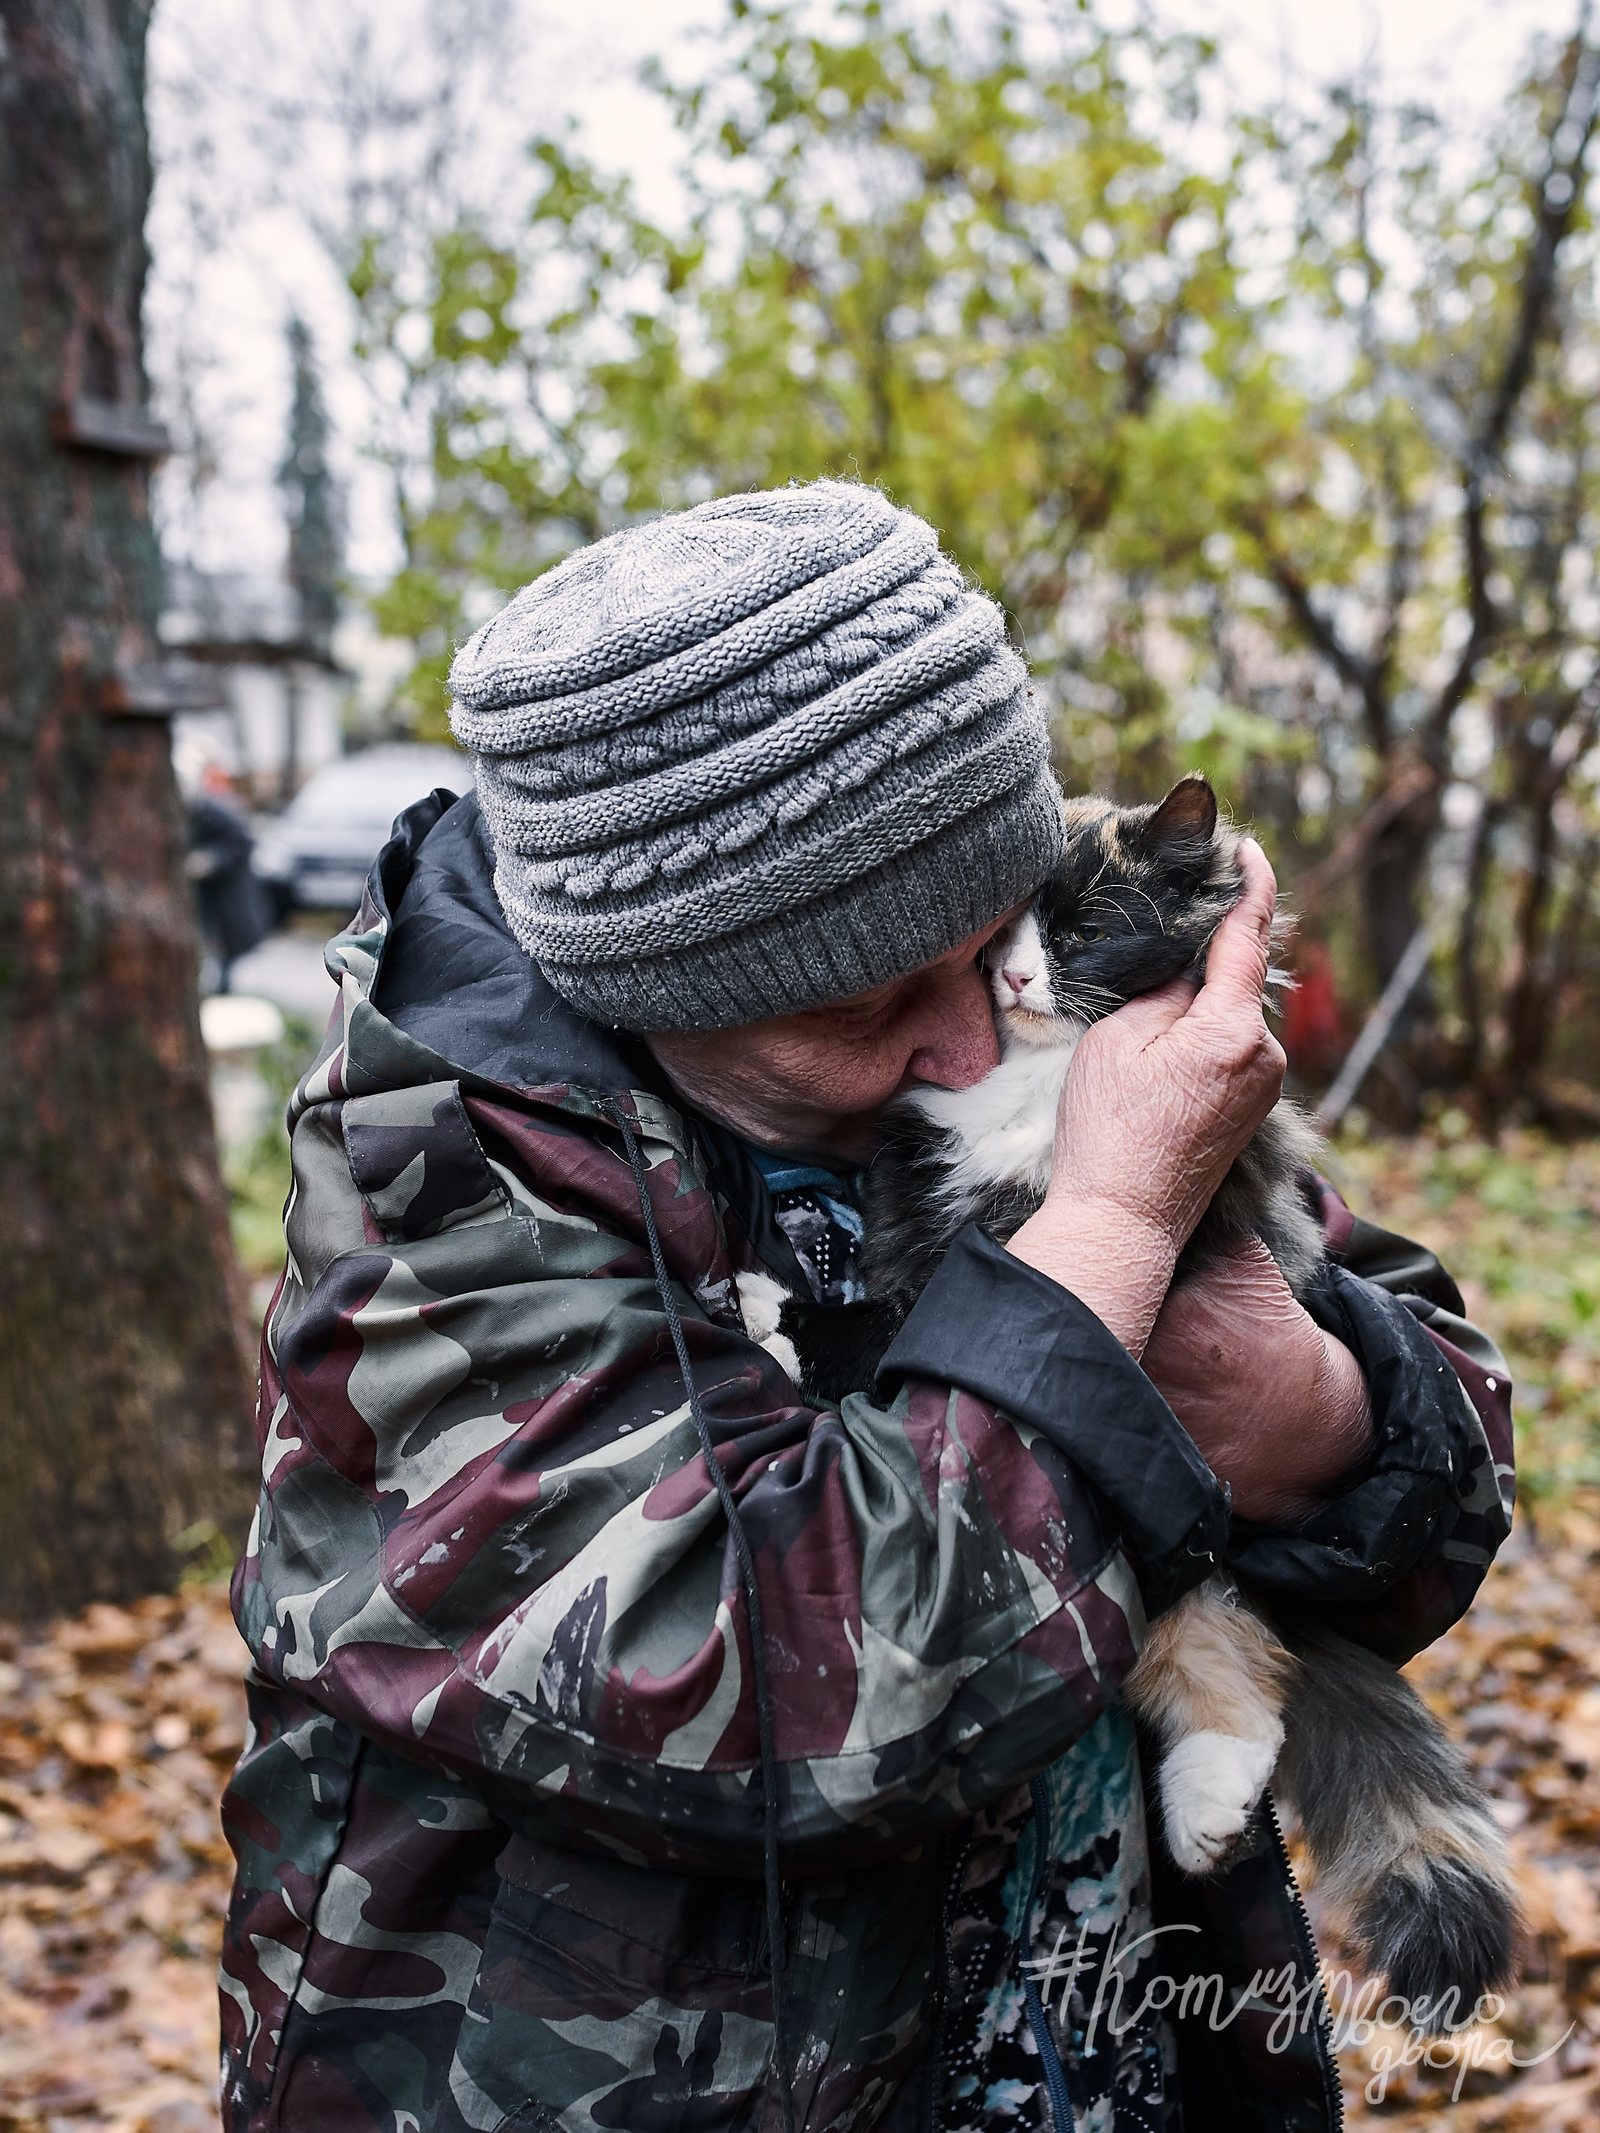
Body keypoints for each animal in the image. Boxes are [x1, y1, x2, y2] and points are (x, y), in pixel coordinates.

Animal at [746, 776, 1518, 2022]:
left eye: (1077, 930)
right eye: (986, 947)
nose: (1013, 980)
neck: (1039, 1081)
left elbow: (910, 1315)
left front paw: (786, 1316)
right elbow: (906, 1297)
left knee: (1239, 1675)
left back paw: (1204, 1812)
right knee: (1229, 1672)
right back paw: (1205, 1816)